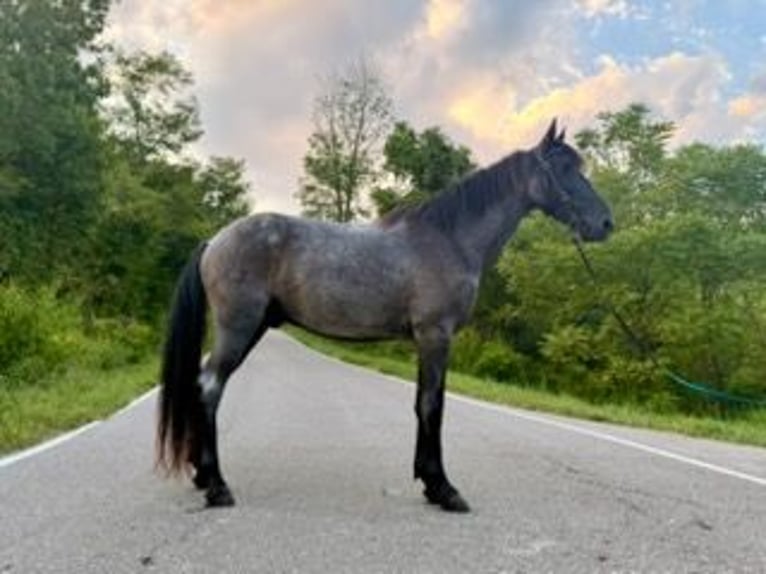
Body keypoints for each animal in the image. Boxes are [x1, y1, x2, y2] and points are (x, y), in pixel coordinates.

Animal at [157, 119, 613, 513]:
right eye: (563, 169)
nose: (605, 223)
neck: (448, 239)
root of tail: (215, 239)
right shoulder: (435, 335)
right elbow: (432, 405)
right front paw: (444, 488)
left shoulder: (429, 340)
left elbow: (422, 403)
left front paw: (428, 482)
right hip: (238, 329)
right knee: (210, 388)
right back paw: (217, 486)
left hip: (252, 329)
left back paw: (202, 475)